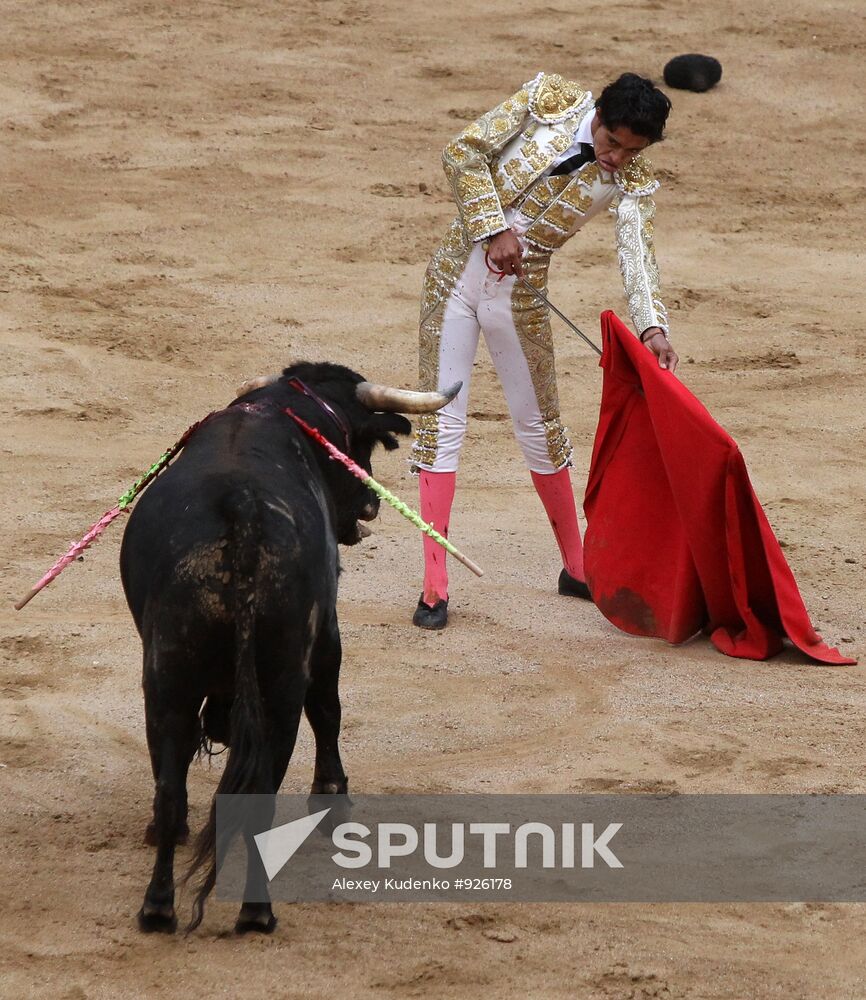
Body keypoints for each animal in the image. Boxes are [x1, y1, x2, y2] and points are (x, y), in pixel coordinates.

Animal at [121, 364, 460, 932]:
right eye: (355, 445)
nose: (370, 504)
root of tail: (239, 515)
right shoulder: (326, 634)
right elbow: (328, 709)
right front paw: (333, 799)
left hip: (167, 679)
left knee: (170, 787)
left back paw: (158, 906)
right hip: (278, 682)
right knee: (264, 789)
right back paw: (256, 913)